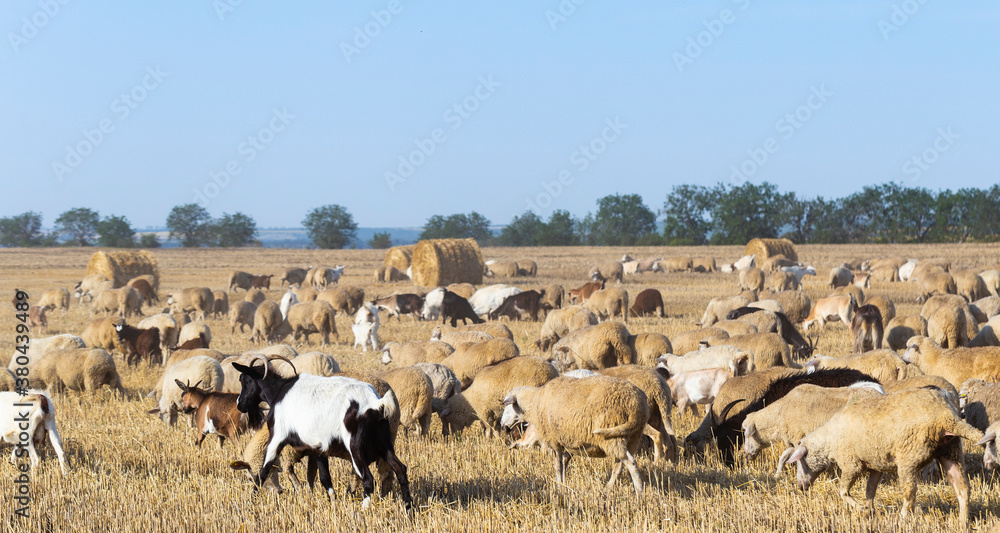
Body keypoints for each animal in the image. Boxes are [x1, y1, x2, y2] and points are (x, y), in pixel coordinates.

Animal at [501, 375, 649, 495]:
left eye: (507, 407)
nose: (502, 425)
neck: (535, 403)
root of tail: (637, 404)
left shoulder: (555, 441)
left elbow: (558, 466)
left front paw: (559, 486)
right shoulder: (570, 441)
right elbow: (564, 463)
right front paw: (564, 484)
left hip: (612, 436)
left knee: (631, 463)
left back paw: (639, 493)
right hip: (632, 436)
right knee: (619, 466)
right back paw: (607, 489)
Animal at [742, 382, 885, 475]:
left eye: (746, 434)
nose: (746, 456)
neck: (781, 412)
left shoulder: (798, 437)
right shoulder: (794, 441)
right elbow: (784, 456)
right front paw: (778, 473)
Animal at [786, 387, 981, 526]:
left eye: (800, 462)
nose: (801, 487)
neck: (829, 439)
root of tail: (946, 415)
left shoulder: (851, 464)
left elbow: (843, 492)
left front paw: (860, 508)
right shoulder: (876, 465)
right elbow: (870, 490)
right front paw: (870, 510)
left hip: (909, 457)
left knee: (910, 493)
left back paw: (902, 518)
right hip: (951, 451)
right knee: (963, 489)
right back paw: (962, 522)